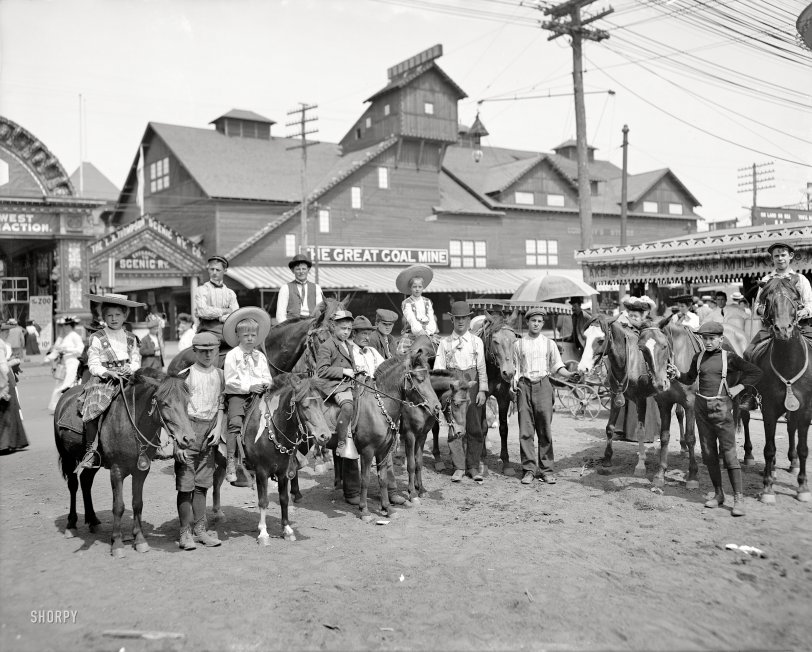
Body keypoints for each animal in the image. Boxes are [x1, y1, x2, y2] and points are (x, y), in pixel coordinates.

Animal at [54, 370, 195, 556]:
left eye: (187, 402)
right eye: (164, 403)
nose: (188, 438)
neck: (131, 425)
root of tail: (66, 396)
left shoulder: (141, 470)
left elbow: (137, 503)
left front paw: (140, 540)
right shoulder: (117, 470)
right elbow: (118, 506)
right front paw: (117, 543)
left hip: (95, 463)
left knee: (85, 481)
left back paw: (93, 521)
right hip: (68, 457)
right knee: (73, 485)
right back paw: (71, 525)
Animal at [748, 276, 812, 504]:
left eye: (795, 297)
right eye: (768, 299)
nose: (783, 329)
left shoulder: (805, 409)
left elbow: (803, 448)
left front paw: (802, 487)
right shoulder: (768, 408)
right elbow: (769, 449)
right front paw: (767, 488)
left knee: (791, 428)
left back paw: (791, 464)